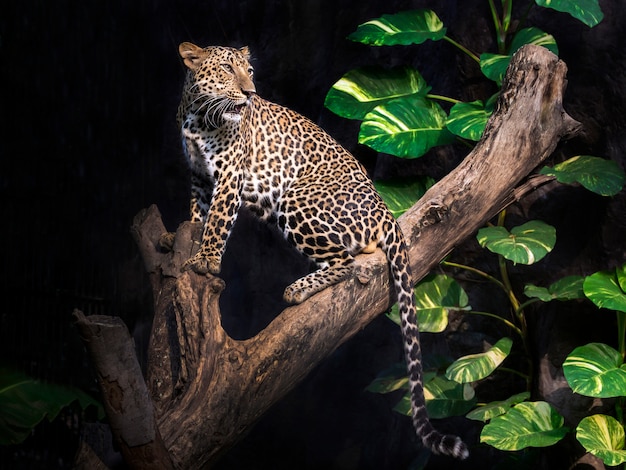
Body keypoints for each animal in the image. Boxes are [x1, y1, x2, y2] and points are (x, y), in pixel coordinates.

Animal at [176, 40, 468, 458]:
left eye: (249, 71)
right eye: (228, 70)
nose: (250, 94)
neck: (200, 116)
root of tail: (387, 211)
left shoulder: (230, 174)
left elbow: (217, 222)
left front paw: (206, 261)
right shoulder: (199, 176)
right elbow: (198, 217)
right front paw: (187, 242)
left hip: (295, 198)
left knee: (347, 262)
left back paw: (297, 289)